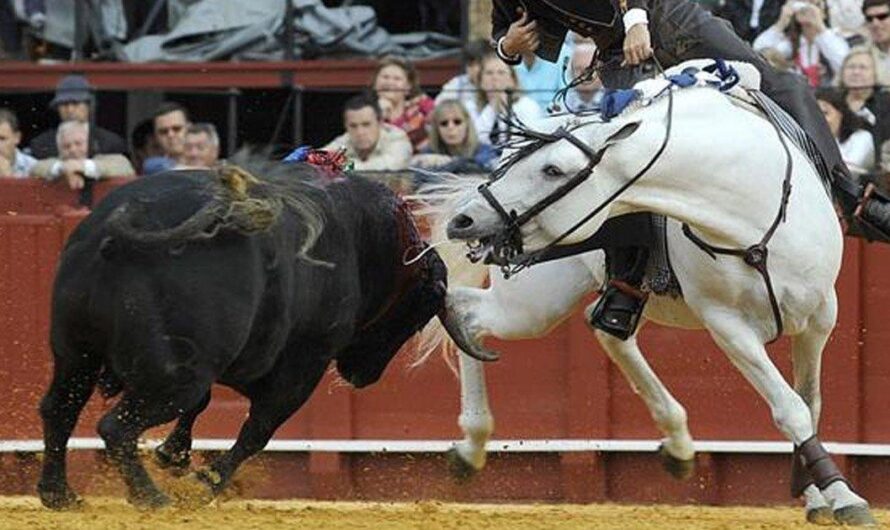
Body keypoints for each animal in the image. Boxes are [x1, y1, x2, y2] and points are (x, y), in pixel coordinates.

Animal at [38, 162, 448, 508]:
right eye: (419, 312)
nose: (365, 376)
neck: (363, 237)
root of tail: (115, 231)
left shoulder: (228, 358)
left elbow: (206, 405)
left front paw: (174, 456)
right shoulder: (305, 362)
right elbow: (258, 429)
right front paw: (205, 483)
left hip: (77, 353)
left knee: (59, 408)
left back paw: (60, 495)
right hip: (177, 374)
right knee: (117, 426)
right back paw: (152, 498)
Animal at [422, 74, 876, 524]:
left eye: (552, 169)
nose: (464, 220)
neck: (749, 213)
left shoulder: (820, 316)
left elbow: (809, 402)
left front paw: (820, 496)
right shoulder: (727, 325)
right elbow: (791, 408)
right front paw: (845, 497)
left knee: (605, 332)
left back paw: (678, 444)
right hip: (532, 305)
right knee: (464, 311)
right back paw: (471, 447)